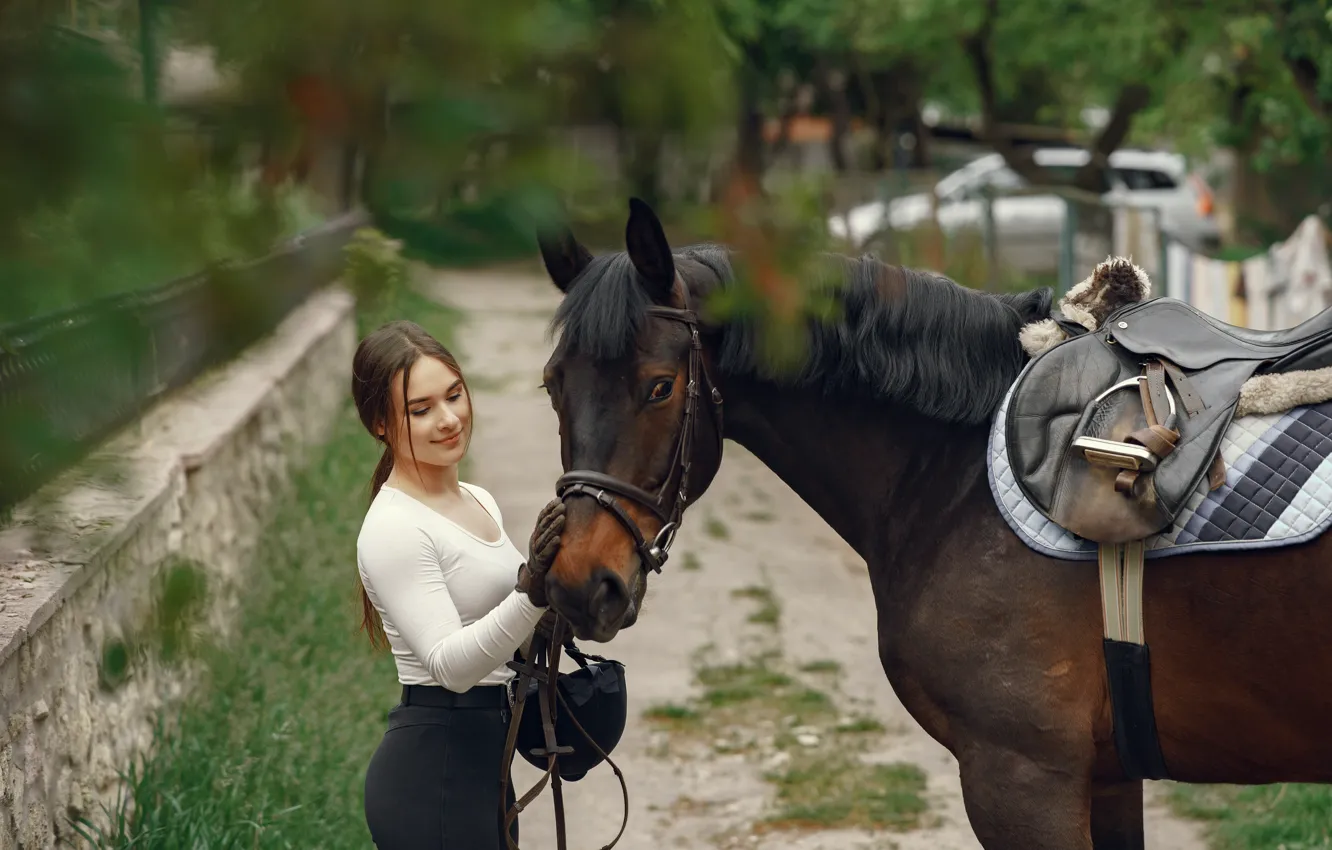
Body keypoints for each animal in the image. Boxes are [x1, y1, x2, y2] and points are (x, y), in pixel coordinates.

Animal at [532, 197, 1332, 849]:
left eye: (659, 387)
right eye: (553, 385)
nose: (579, 582)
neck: (956, 474)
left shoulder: (1021, 778)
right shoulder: (1103, 778)